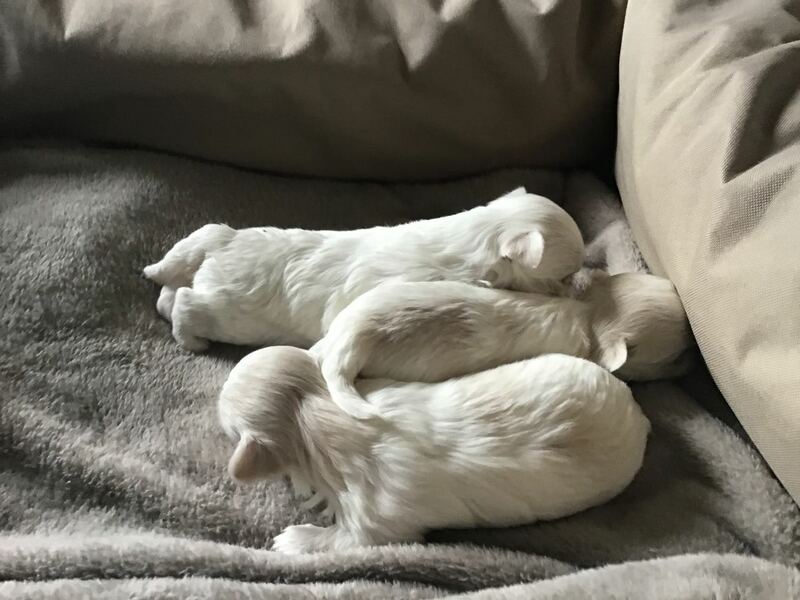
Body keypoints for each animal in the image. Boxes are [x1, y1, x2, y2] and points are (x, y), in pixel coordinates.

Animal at [143, 188, 583, 351]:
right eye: (564, 275)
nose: (579, 285)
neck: (475, 235)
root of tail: (221, 242)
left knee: (170, 292)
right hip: (227, 313)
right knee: (187, 304)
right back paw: (192, 340)